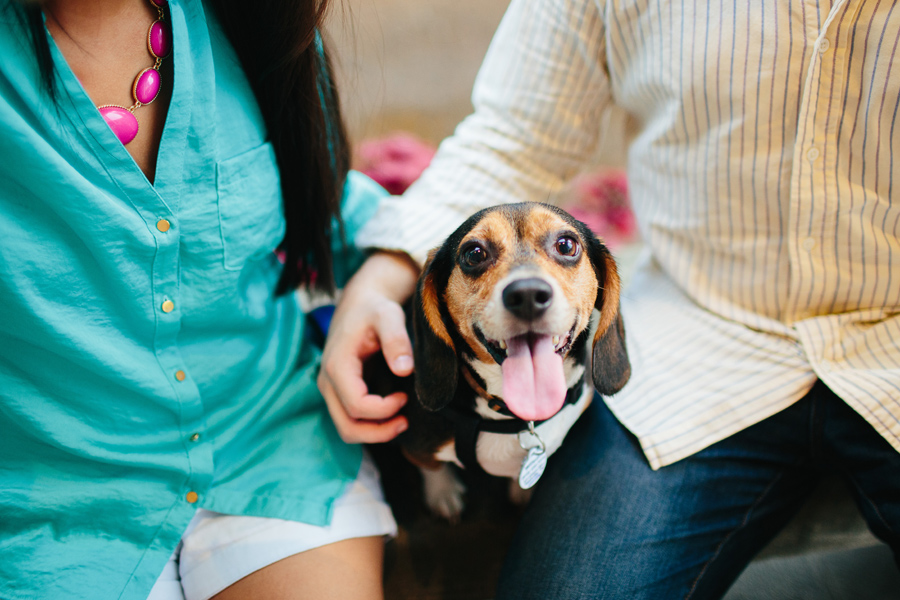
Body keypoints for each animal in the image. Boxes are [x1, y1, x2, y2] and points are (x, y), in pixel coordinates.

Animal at [398, 203, 628, 520]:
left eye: (566, 245)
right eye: (474, 253)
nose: (528, 294)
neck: (516, 414)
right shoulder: (416, 443)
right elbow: (431, 466)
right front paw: (442, 492)